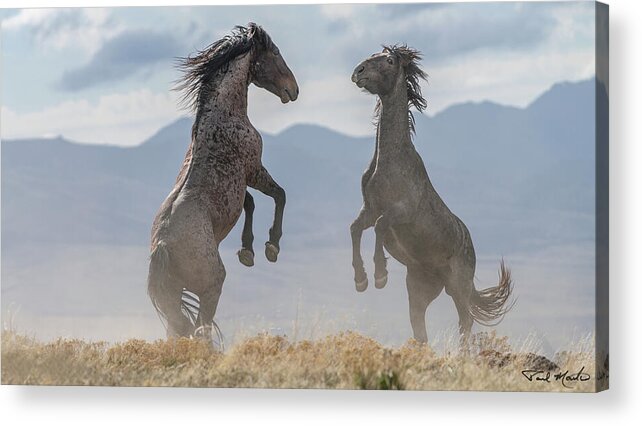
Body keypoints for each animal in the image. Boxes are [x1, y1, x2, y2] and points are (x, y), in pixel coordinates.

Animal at [147, 25, 298, 340]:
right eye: (275, 52)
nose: (293, 89)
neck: (224, 115)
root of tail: (163, 247)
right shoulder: (254, 170)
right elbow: (279, 195)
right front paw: (270, 247)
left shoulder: (239, 185)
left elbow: (250, 203)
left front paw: (247, 250)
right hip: (211, 287)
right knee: (200, 330)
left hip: (174, 300)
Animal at [348, 45, 512, 344]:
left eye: (390, 60)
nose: (358, 71)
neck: (389, 162)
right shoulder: (370, 208)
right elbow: (355, 228)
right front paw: (361, 280)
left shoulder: (401, 211)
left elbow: (380, 227)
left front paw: (380, 275)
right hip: (420, 288)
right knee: (419, 326)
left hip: (457, 285)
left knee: (466, 321)